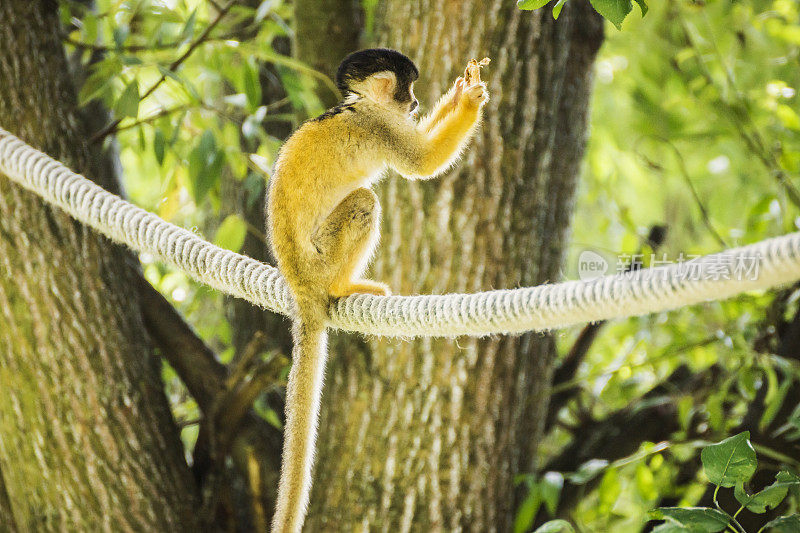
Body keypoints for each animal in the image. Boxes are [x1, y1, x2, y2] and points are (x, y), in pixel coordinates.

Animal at [266, 47, 488, 528]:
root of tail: (299, 280)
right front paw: (468, 103)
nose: (416, 103)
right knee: (364, 202)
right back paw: (344, 286)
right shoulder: (380, 125)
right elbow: (422, 164)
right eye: (409, 90)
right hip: (321, 258)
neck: (359, 104)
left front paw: (458, 91)